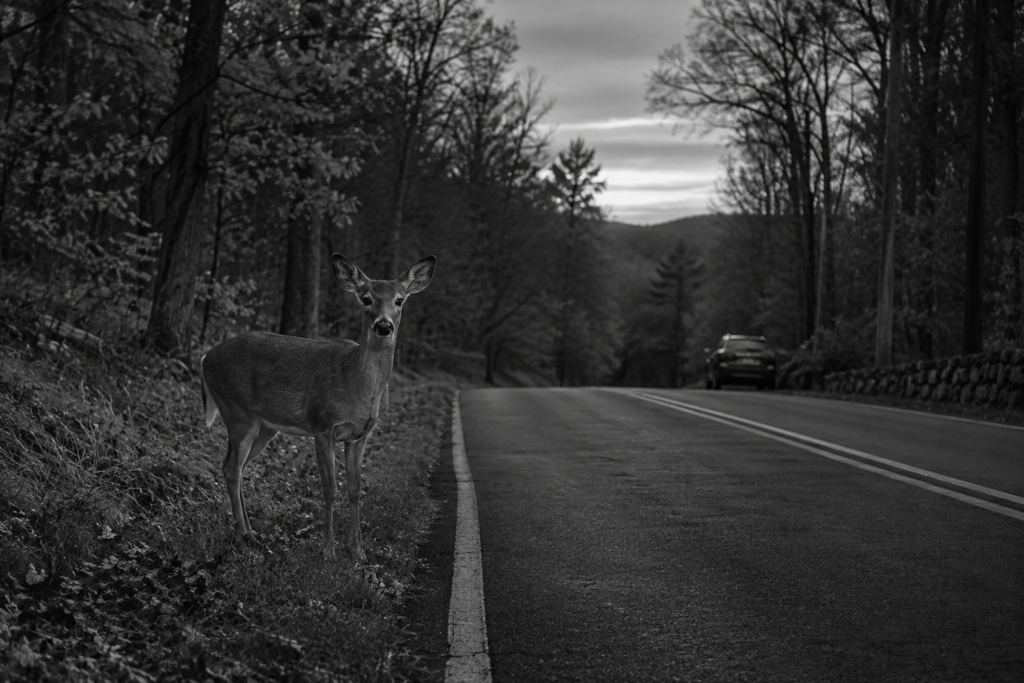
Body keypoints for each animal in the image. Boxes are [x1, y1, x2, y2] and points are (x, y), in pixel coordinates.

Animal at [199, 254, 436, 563]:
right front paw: (328, 551)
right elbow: (330, 489)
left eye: (399, 300)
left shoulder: (361, 435)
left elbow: (355, 490)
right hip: (238, 412)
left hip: (264, 427)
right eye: (366, 299)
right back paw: (242, 537)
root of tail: (205, 358)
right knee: (230, 468)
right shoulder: (322, 425)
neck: (357, 384)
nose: (383, 326)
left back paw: (252, 534)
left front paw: (359, 553)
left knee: (237, 469)